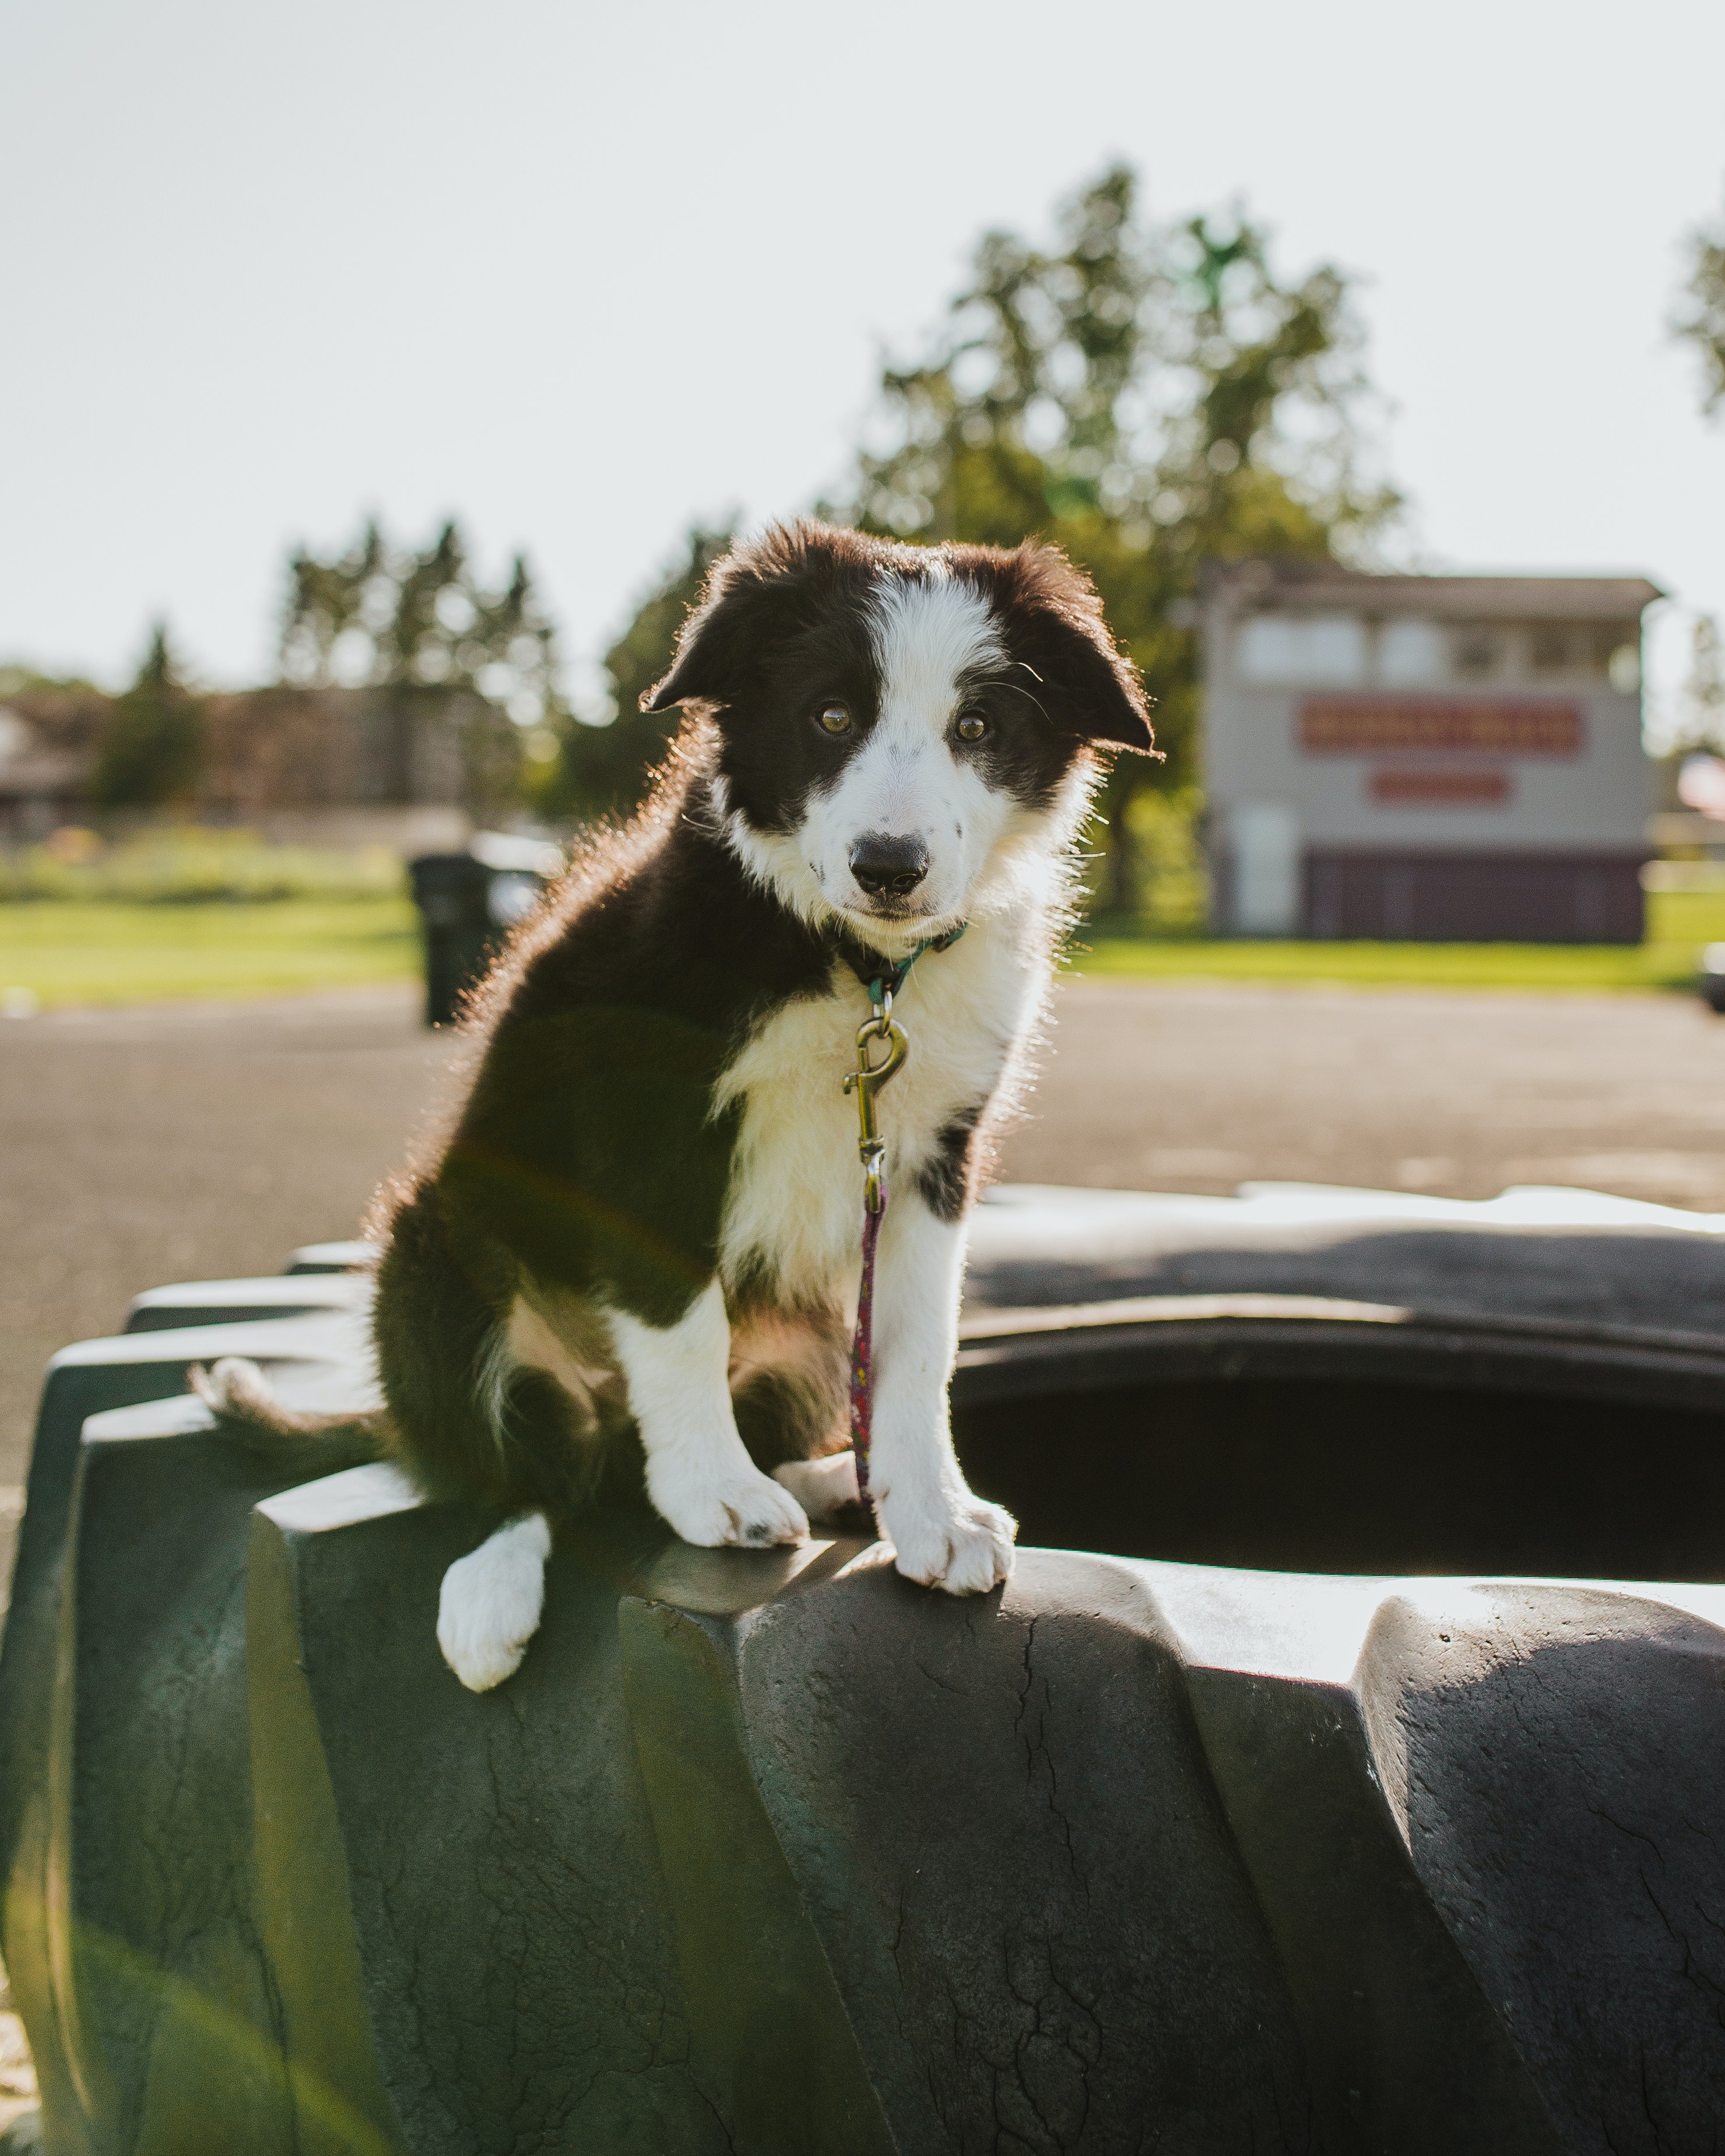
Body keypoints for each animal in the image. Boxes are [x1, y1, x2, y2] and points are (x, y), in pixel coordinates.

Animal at [202, 517, 1155, 1681]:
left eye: (976, 725)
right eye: (829, 716)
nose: (889, 866)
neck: (855, 968)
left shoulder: (932, 1150)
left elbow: (917, 1344)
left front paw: (930, 1511)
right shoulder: (647, 1128)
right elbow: (679, 1317)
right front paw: (713, 1492)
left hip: (802, 1324)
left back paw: (833, 1480)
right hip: (432, 1248)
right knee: (531, 1473)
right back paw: (492, 1587)